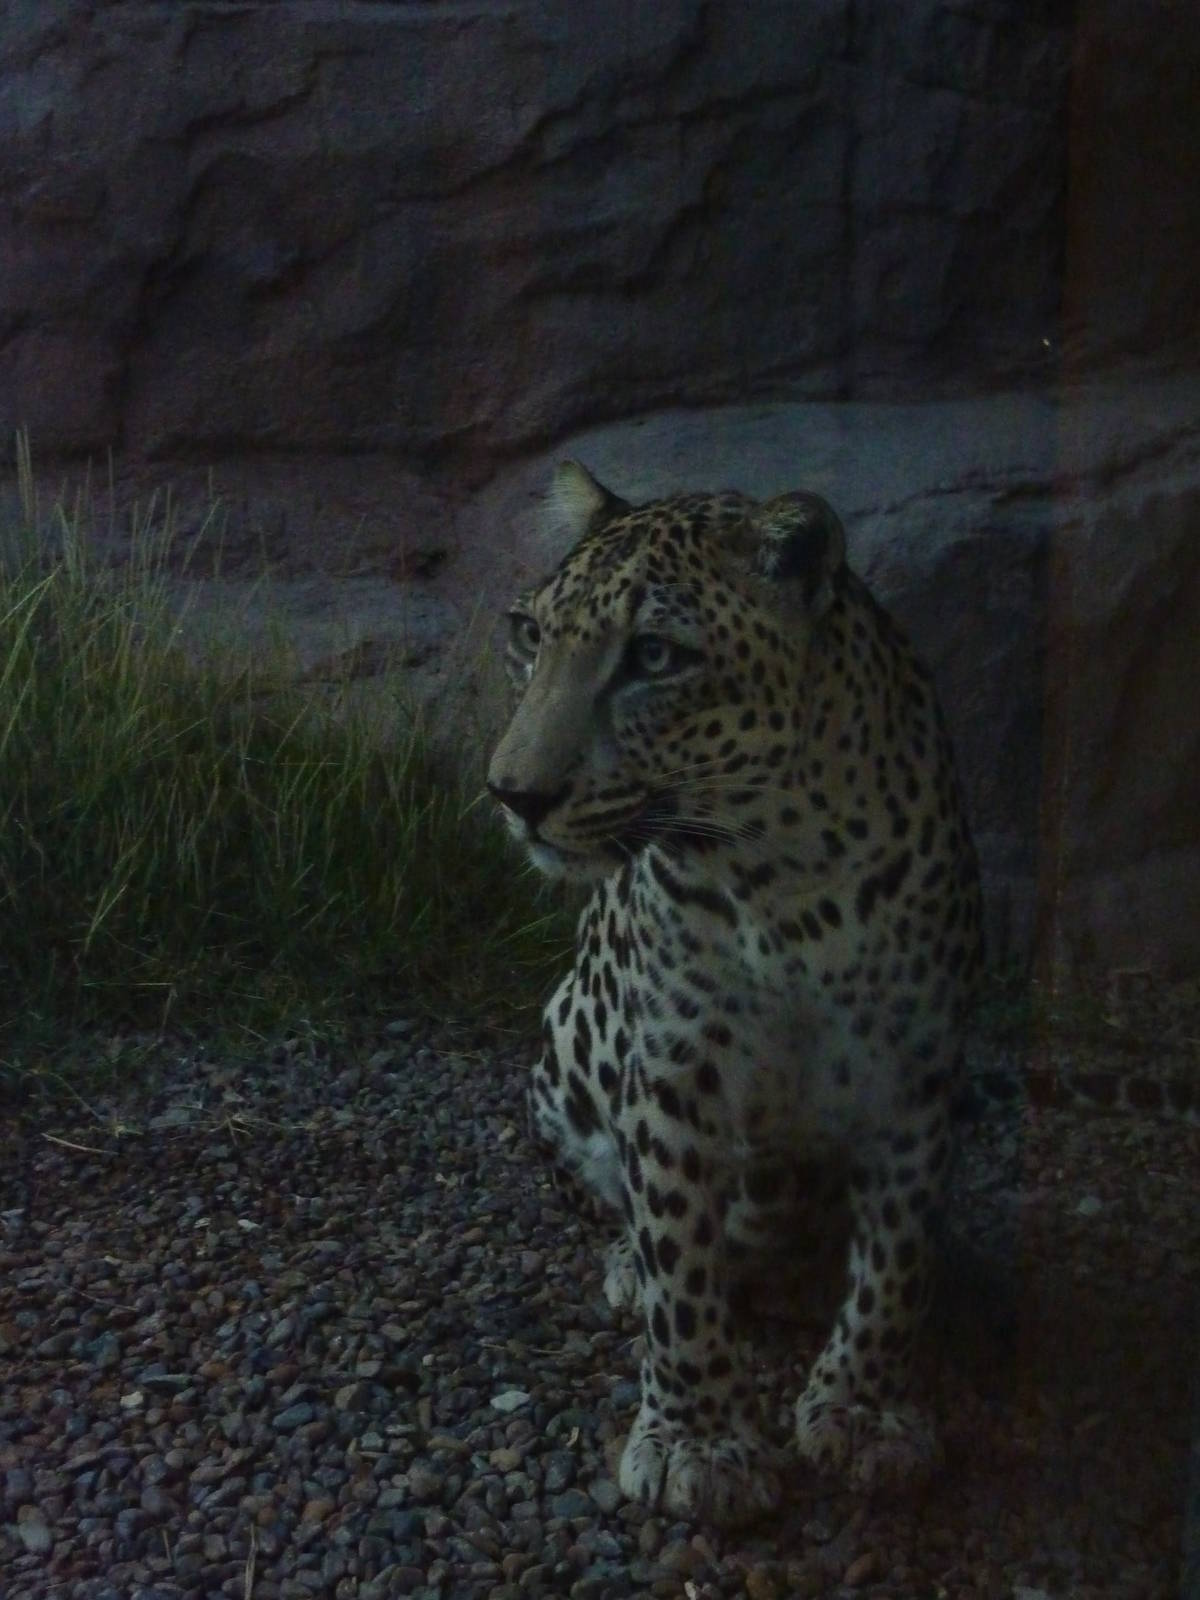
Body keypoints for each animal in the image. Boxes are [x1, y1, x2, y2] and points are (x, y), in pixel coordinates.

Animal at [487, 461, 984, 1526]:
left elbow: (896, 1263)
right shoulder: (675, 1063)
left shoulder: (916, 1071)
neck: (787, 878)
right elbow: (680, 1253)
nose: (513, 795)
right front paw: (696, 1439)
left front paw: (864, 1409)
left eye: (653, 656)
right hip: (566, 1039)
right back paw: (632, 1267)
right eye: (531, 636)